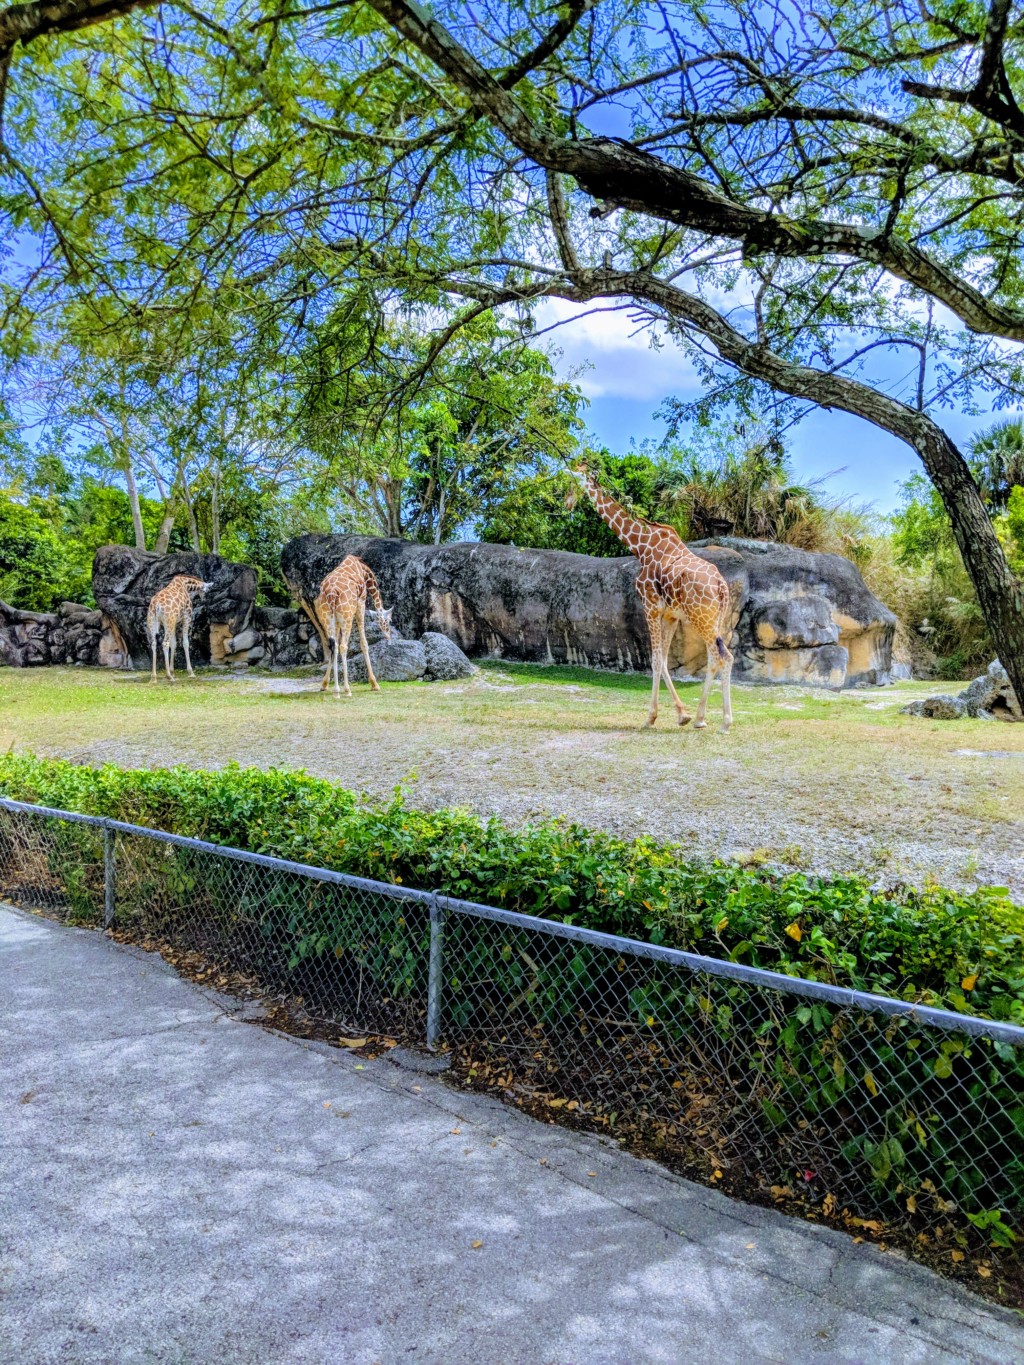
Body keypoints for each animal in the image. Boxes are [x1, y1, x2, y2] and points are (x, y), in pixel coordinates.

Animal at [309, 555, 393, 697]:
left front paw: (324, 685)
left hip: (326, 617)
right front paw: (374, 684)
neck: (365, 572)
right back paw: (347, 689)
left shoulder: (336, 621)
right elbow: (364, 643)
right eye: (389, 621)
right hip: (347, 617)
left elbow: (335, 646)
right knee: (343, 646)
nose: (389, 636)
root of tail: (332, 593)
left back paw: (336, 690)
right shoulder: (361, 603)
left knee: (333, 646)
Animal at [567, 464, 735, 731]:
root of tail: (721, 586)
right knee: (713, 658)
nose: (567, 502)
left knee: (724, 657)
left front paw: (650, 718)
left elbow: (655, 660)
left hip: (701, 617)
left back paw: (725, 723)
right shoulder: (670, 615)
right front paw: (683, 715)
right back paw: (700, 719)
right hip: (715, 618)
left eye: (571, 483)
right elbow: (664, 660)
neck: (640, 545)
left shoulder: (650, 606)